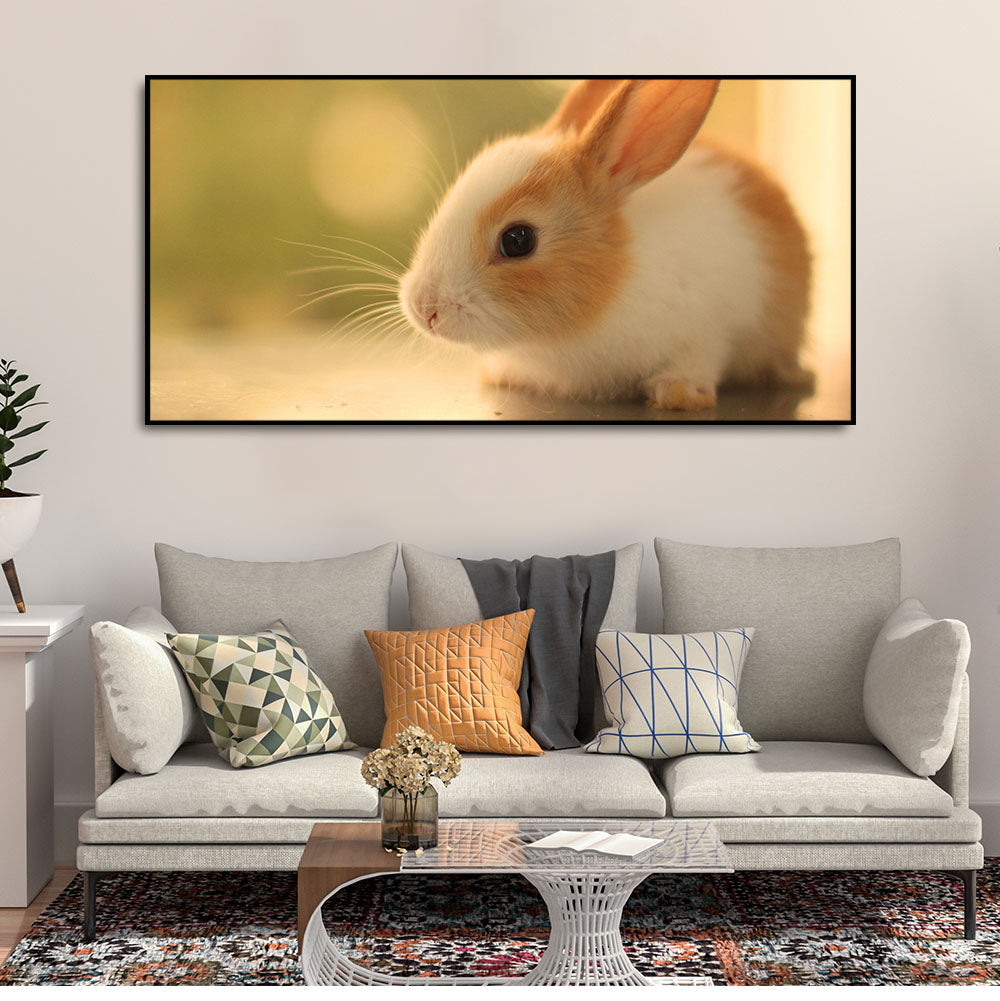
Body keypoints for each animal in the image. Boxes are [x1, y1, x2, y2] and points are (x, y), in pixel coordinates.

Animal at [398, 79, 813, 412]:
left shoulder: (711, 327)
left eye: (518, 240)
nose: (425, 308)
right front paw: (503, 373)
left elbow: (699, 357)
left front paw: (678, 392)